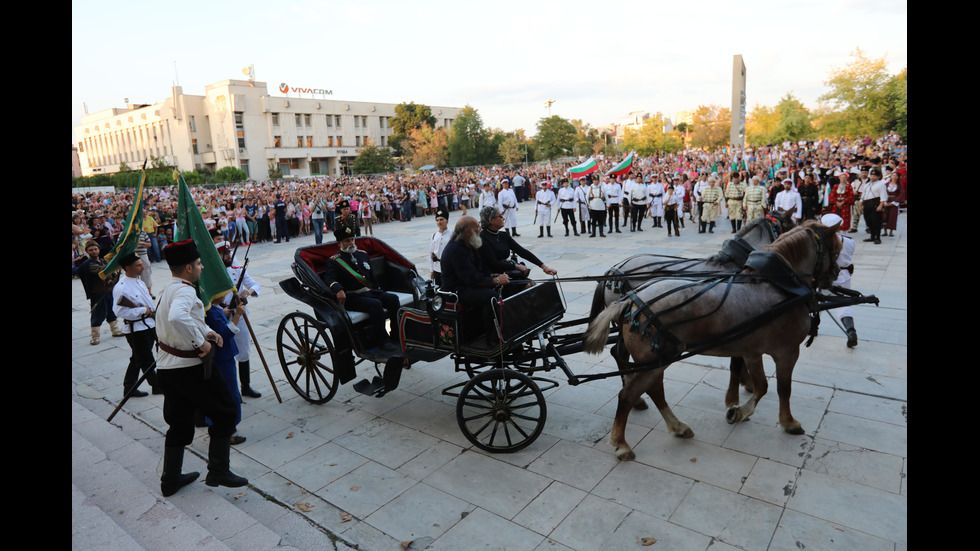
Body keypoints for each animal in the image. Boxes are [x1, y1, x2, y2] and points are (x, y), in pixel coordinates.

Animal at [580, 221, 844, 462]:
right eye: (836, 250)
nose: (838, 274)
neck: (776, 283)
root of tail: (628, 300)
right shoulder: (787, 350)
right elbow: (781, 388)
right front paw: (786, 421)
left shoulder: (752, 350)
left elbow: (759, 383)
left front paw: (738, 408)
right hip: (655, 359)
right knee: (628, 394)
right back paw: (622, 443)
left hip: (658, 358)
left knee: (650, 386)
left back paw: (677, 426)